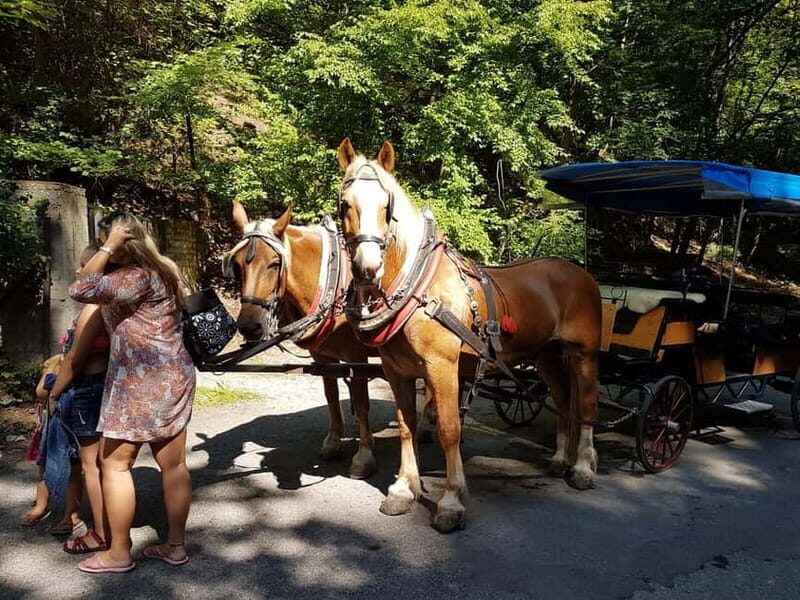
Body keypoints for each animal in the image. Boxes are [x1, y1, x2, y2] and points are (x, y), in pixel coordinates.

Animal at [227, 201, 378, 479]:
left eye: (274, 263)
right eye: (237, 265)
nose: (249, 326)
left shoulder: (357, 356)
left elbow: (362, 403)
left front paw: (364, 456)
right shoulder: (323, 356)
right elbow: (330, 395)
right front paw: (333, 441)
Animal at [336, 137, 602, 532]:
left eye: (388, 206)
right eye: (344, 204)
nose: (368, 268)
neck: (419, 288)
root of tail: (579, 273)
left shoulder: (442, 367)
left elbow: (450, 429)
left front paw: (451, 502)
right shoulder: (396, 371)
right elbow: (406, 426)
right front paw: (403, 489)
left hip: (583, 353)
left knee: (585, 403)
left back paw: (583, 467)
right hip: (547, 356)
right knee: (563, 399)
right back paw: (559, 460)